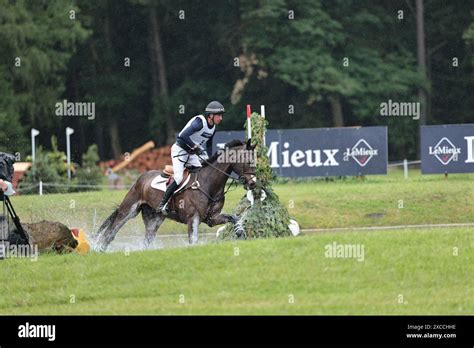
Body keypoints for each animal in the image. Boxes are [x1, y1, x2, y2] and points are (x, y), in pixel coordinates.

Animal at [93, 139, 256, 250]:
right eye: (247, 160)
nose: (253, 183)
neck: (208, 183)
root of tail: (140, 179)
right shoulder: (193, 218)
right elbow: (193, 241)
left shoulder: (212, 218)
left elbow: (234, 217)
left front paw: (240, 231)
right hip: (129, 210)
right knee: (111, 232)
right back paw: (99, 250)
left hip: (154, 219)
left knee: (147, 240)